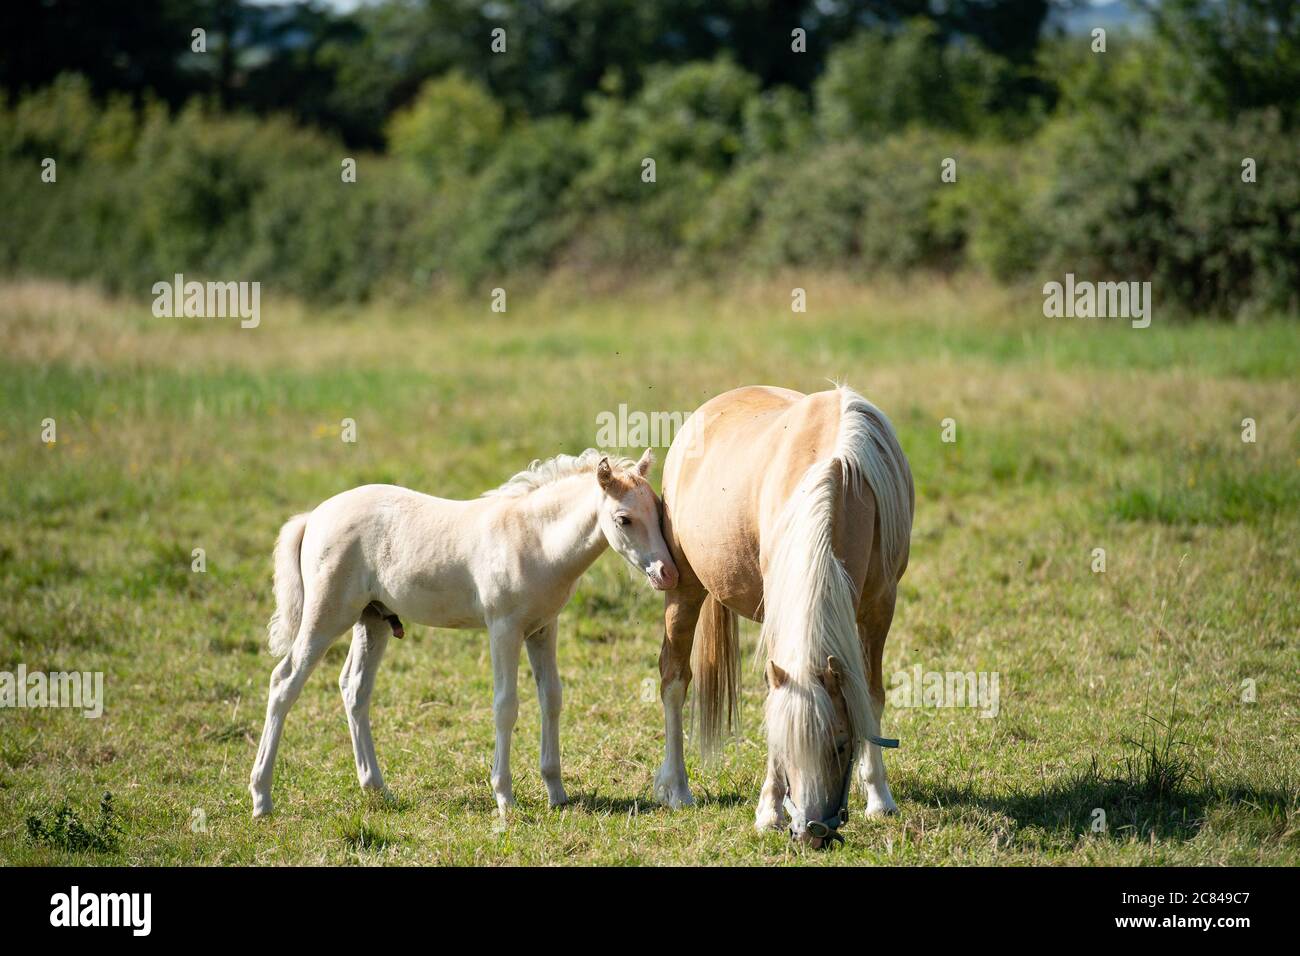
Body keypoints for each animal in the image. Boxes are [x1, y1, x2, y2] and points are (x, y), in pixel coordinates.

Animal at [249, 447, 686, 816]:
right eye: (624, 519)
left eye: (659, 510)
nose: (668, 574)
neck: (534, 539)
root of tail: (313, 516)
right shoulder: (503, 629)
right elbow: (506, 705)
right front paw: (505, 797)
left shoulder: (543, 629)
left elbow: (552, 698)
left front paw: (557, 793)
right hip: (326, 616)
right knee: (284, 682)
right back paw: (261, 798)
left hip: (371, 620)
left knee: (354, 689)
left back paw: (377, 789)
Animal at [650, 385, 915, 848]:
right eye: (788, 746)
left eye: (841, 745)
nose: (810, 832)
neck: (839, 481)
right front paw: (768, 811)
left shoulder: (881, 607)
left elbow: (872, 699)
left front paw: (880, 798)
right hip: (683, 589)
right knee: (674, 680)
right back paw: (677, 788)